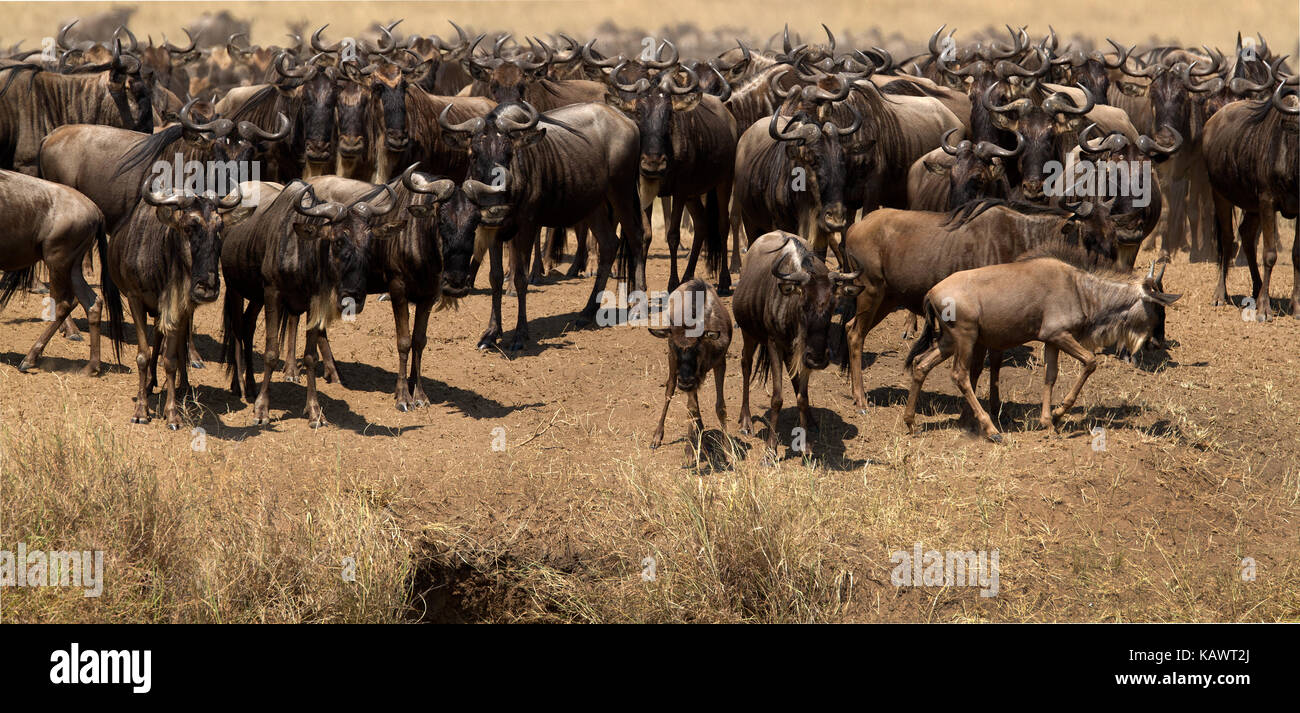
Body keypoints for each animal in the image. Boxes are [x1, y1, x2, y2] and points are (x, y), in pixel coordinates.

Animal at [904, 243, 1180, 439]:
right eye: (1158, 308)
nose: (1157, 343)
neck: (1080, 289)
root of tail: (932, 292)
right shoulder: (1059, 335)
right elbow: (1090, 362)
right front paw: (1057, 414)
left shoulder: (1052, 341)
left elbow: (1050, 376)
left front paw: (1048, 422)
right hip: (965, 338)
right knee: (959, 375)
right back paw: (991, 430)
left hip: (949, 342)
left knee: (920, 364)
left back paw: (911, 423)